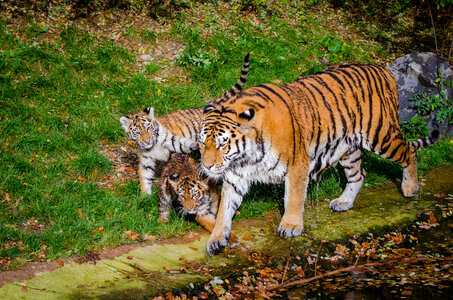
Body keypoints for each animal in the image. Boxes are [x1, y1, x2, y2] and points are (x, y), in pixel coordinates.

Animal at [199, 62, 438, 254]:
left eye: (222, 144)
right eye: (202, 143)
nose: (207, 166)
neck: (246, 156)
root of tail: (383, 69)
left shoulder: (297, 165)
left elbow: (293, 198)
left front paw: (291, 226)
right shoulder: (235, 177)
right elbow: (224, 209)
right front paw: (216, 239)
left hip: (381, 135)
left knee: (409, 152)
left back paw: (410, 188)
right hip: (348, 148)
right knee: (359, 174)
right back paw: (343, 202)